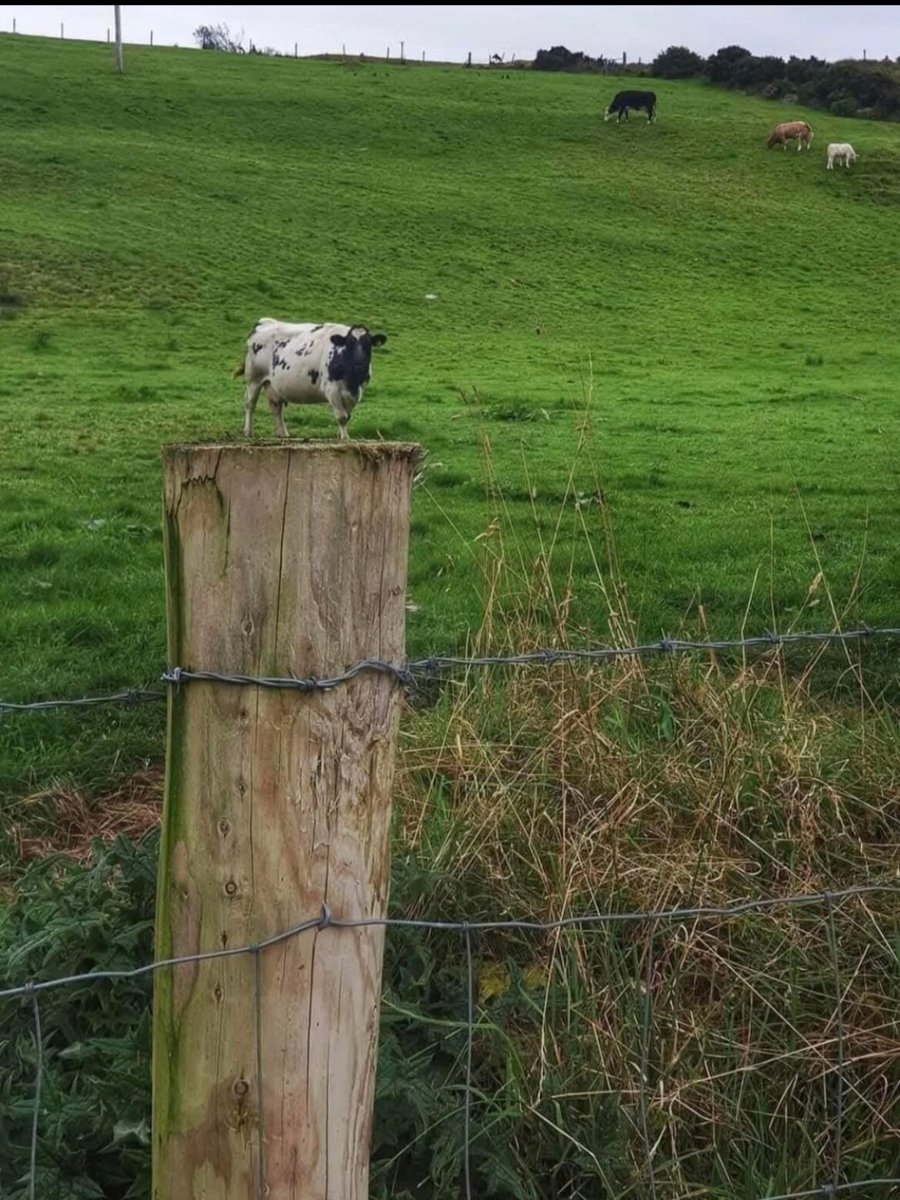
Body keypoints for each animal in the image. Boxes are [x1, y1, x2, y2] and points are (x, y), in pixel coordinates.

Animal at [235, 318, 387, 440]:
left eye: (368, 344)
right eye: (349, 344)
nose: (359, 364)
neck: (351, 380)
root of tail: (265, 322)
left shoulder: (356, 392)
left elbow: (347, 416)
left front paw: (340, 435)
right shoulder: (331, 389)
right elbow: (342, 417)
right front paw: (345, 438)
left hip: (272, 383)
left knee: (276, 407)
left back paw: (282, 433)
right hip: (254, 378)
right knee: (250, 403)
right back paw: (248, 432)